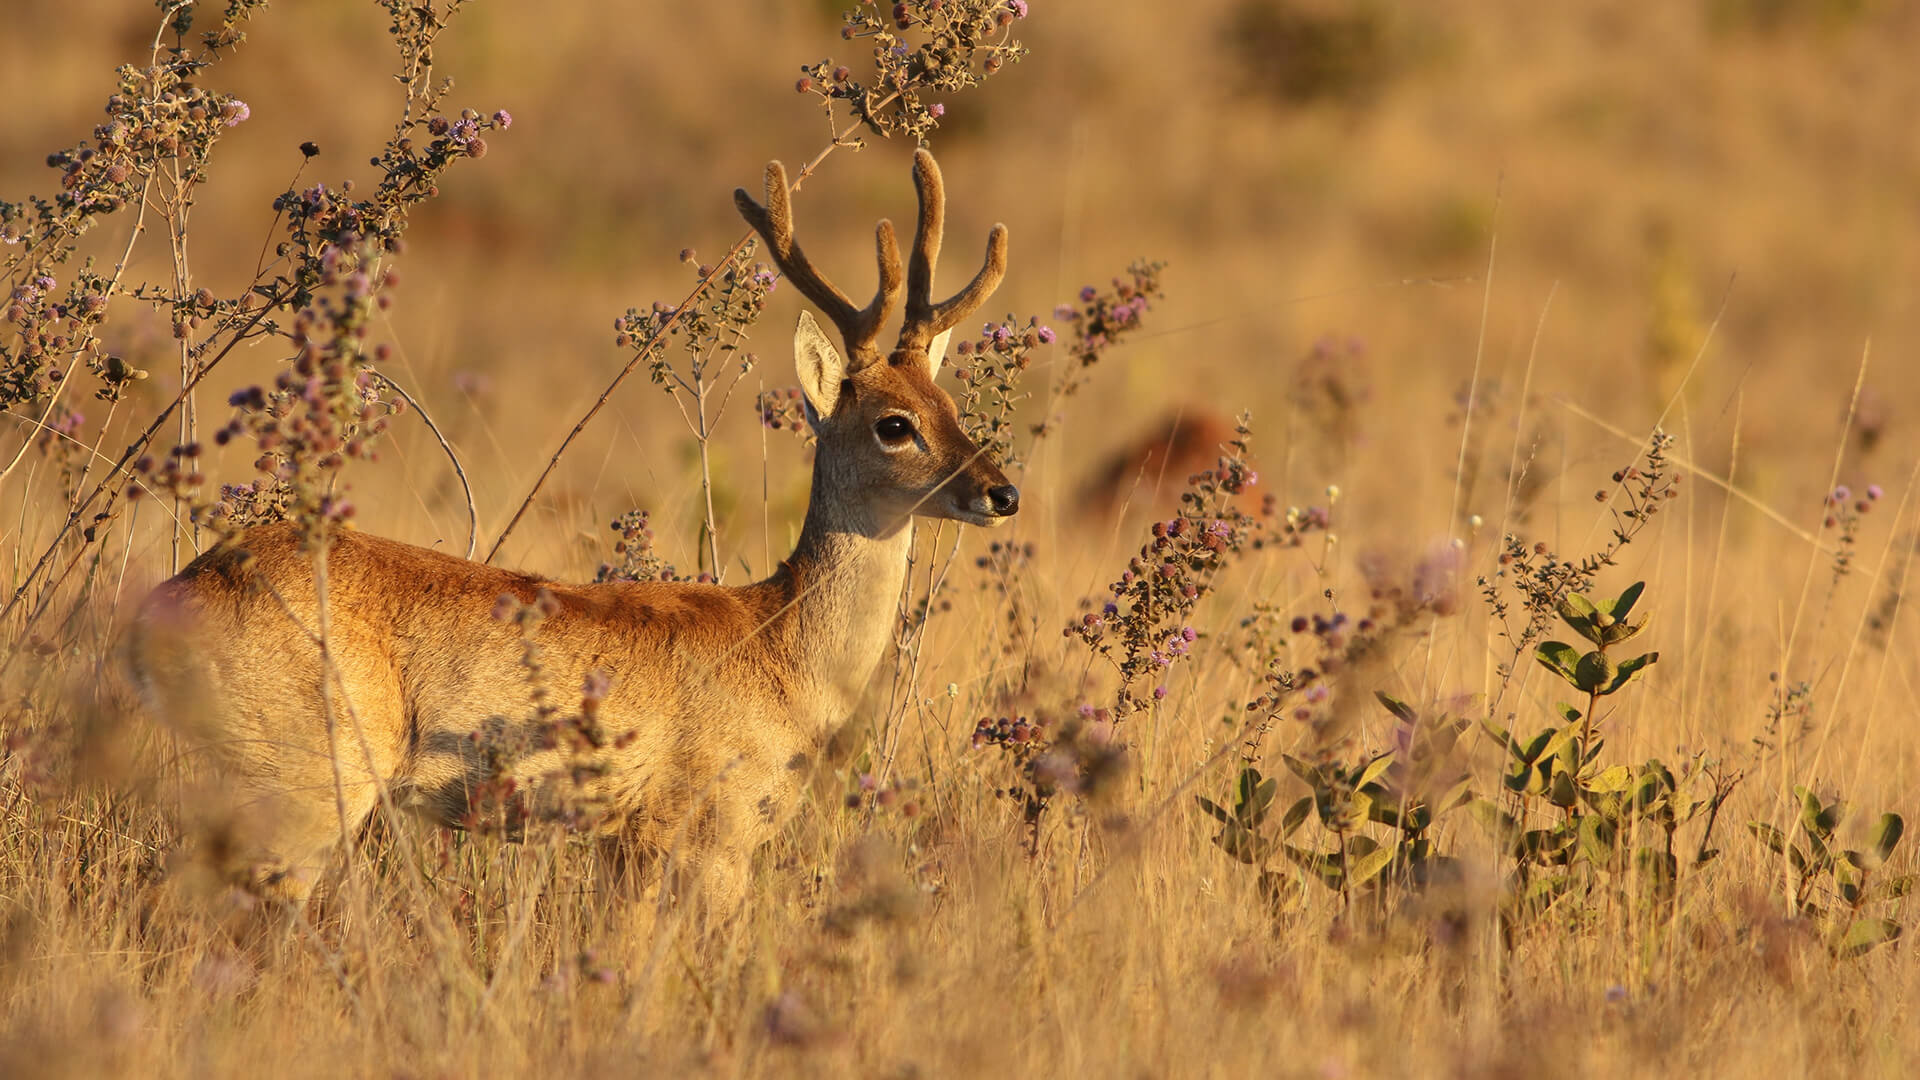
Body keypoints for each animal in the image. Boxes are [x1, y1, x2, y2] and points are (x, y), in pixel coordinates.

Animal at [133, 148, 1021, 907]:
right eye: (895, 425)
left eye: (952, 406)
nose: (1003, 492)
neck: (783, 650)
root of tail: (172, 600)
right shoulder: (693, 826)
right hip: (307, 776)